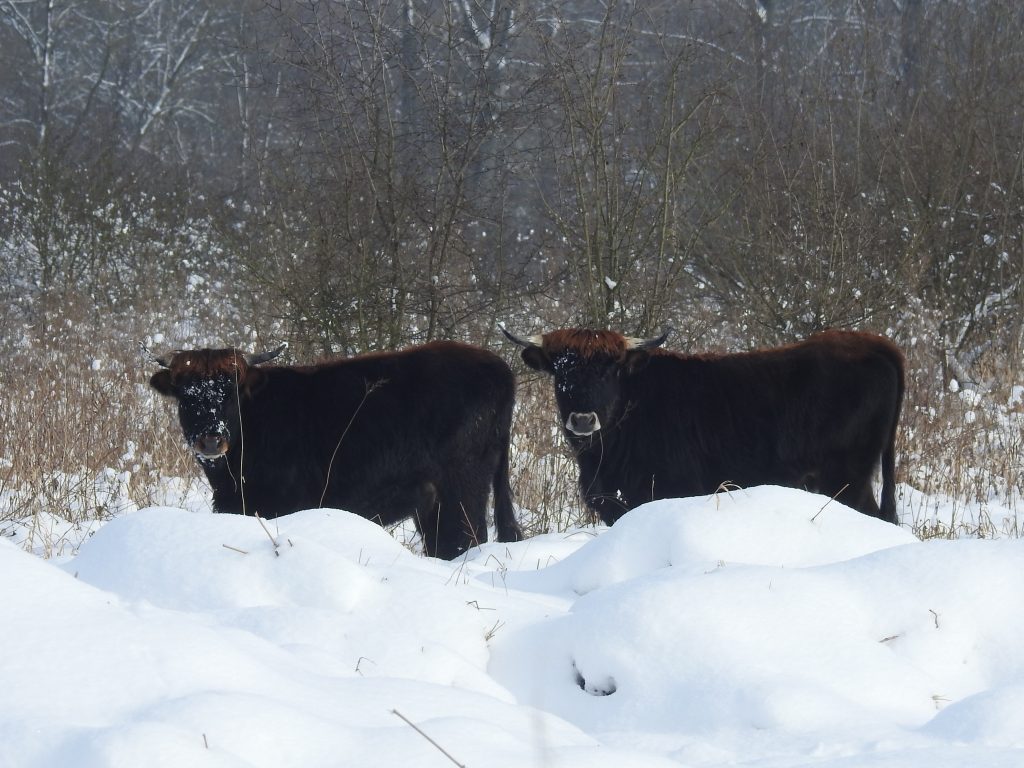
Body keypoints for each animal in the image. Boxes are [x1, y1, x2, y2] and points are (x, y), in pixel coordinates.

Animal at [148, 342, 524, 561]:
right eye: (186, 393)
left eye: (230, 392)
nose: (211, 439)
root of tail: (498, 367)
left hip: (462, 490)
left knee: (465, 539)